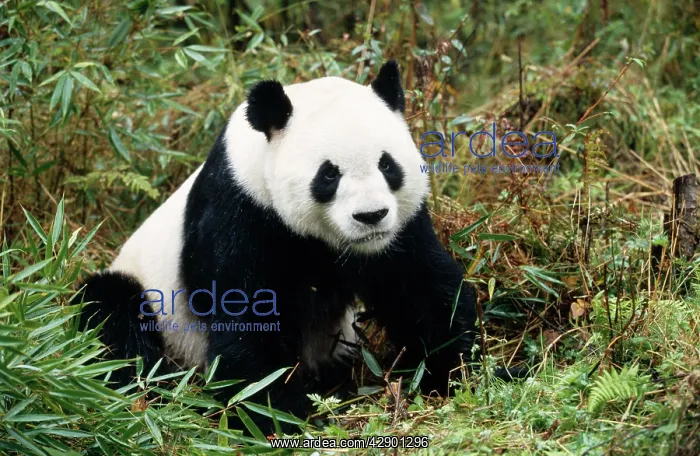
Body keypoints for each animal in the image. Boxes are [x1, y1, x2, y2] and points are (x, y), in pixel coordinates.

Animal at [78, 60, 490, 429]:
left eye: (387, 165)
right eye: (329, 175)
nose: (370, 216)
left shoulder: (399, 228)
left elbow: (421, 288)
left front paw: (458, 373)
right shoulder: (240, 214)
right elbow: (248, 317)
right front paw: (279, 415)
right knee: (113, 319)